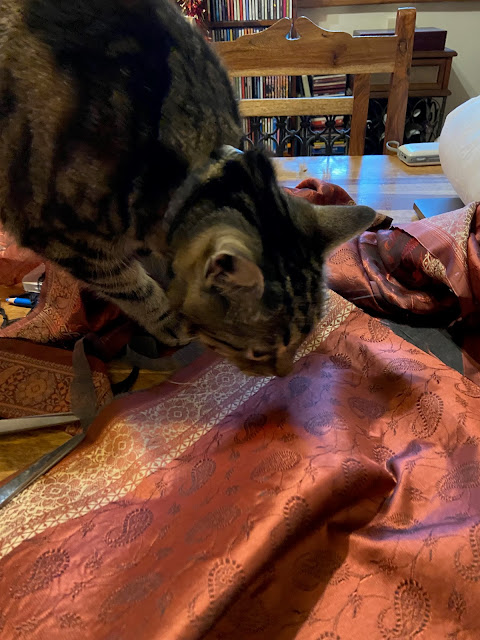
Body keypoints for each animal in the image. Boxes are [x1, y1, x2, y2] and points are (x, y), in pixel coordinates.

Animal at [0, 0, 376, 378]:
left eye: (306, 337)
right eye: (259, 353)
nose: (283, 374)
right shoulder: (63, 237)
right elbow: (132, 287)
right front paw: (171, 321)